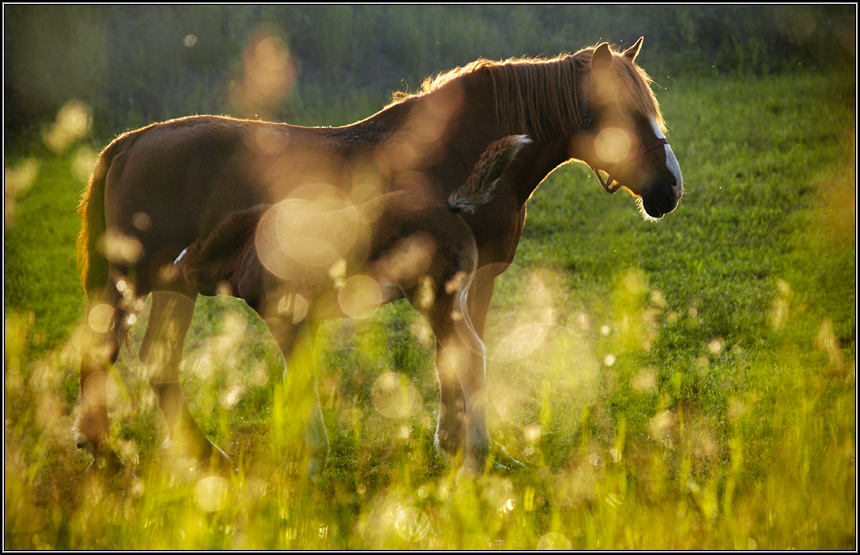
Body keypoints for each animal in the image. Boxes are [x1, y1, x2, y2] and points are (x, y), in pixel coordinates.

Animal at [173, 134, 532, 474]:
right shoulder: (307, 321)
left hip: (435, 300)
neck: (245, 247)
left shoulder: (282, 320)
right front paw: (304, 454)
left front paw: (309, 462)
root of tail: (450, 206)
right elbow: (300, 376)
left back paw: (476, 460)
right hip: (457, 299)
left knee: (469, 355)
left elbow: (298, 379)